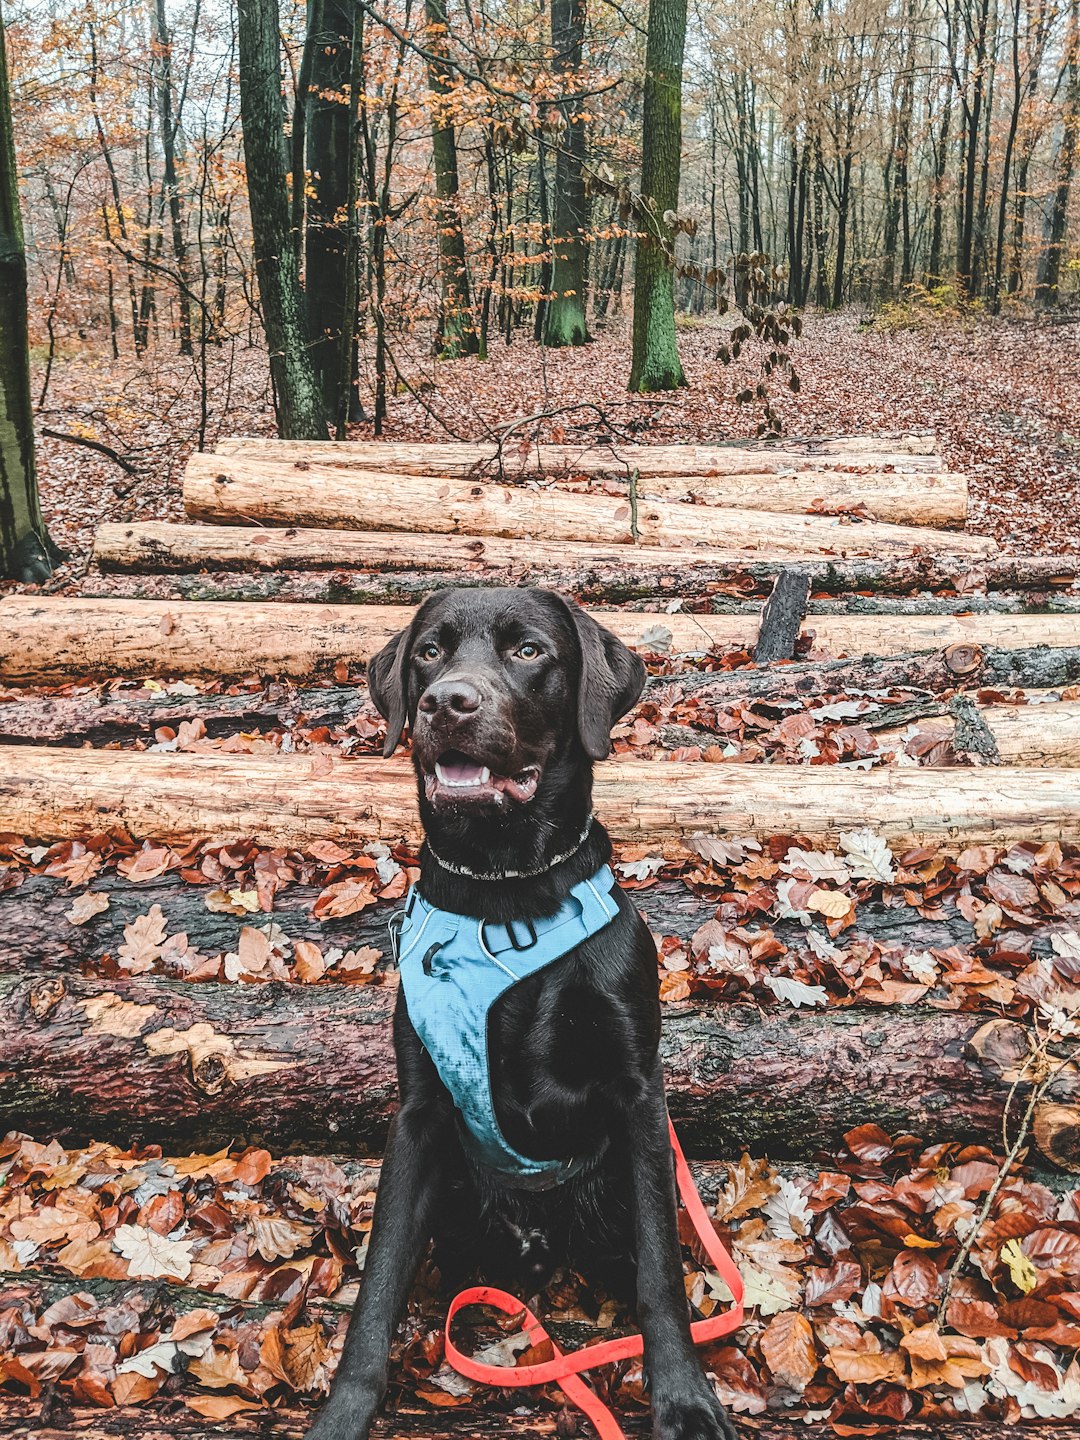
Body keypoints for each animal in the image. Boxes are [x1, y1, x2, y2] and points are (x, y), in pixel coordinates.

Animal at [308, 587, 743, 1440]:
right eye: (429, 652)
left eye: (530, 651)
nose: (447, 702)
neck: (506, 892)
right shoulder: (418, 1113)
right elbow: (378, 1281)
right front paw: (346, 1409)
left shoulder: (639, 1096)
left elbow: (663, 1277)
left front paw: (683, 1397)